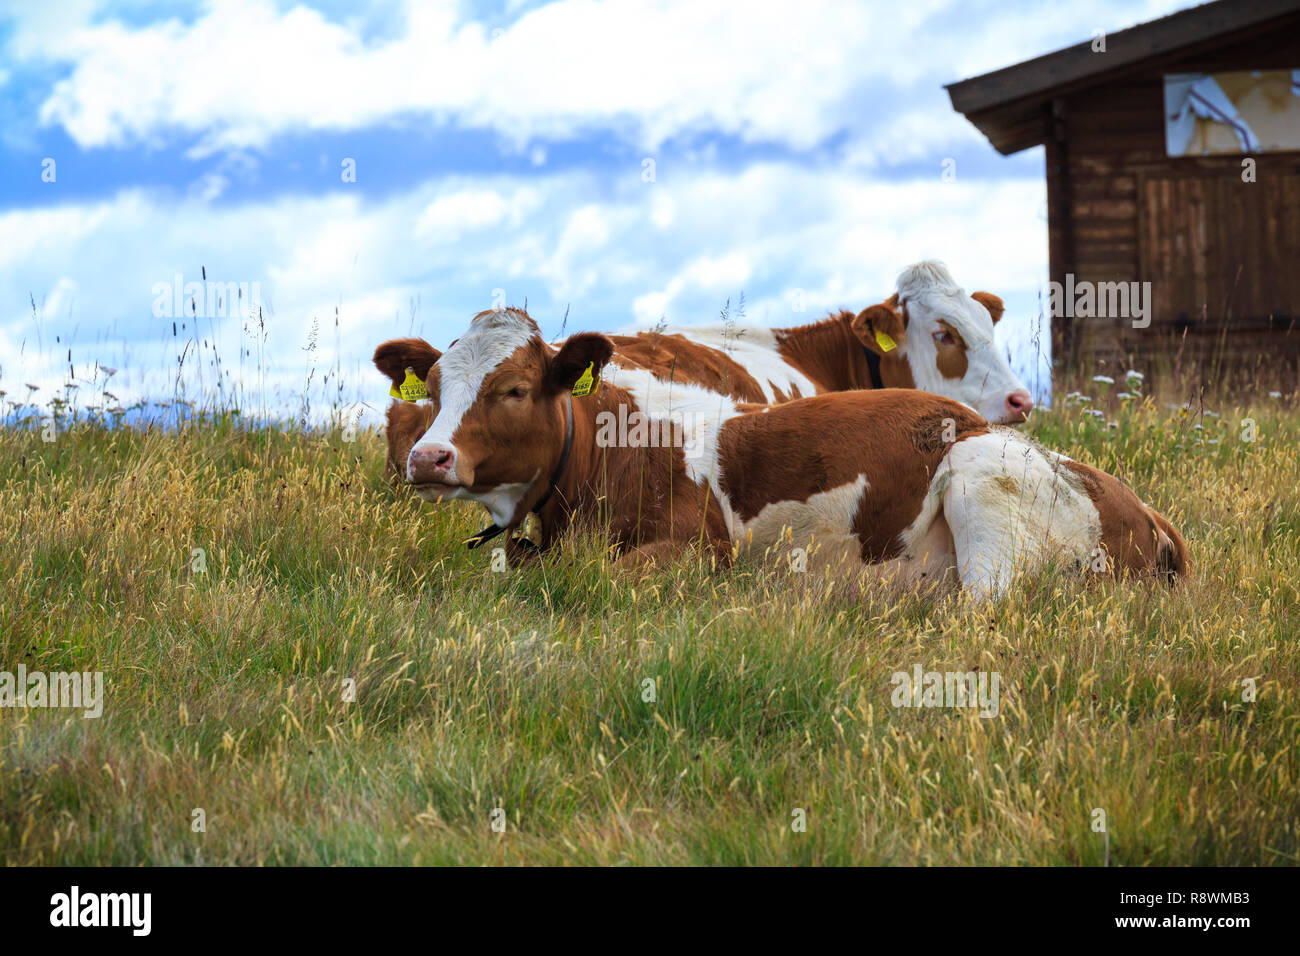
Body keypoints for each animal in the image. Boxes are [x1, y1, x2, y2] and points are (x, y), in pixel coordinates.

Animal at [377, 306, 1190, 598]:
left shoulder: (698, 549)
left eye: (513, 389)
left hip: (977, 480)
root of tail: (1142, 507)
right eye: (435, 386)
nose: (428, 458)